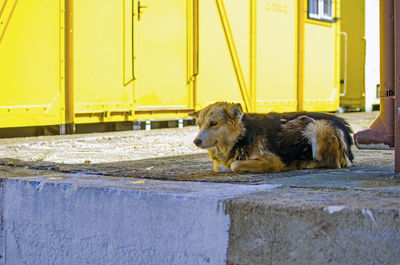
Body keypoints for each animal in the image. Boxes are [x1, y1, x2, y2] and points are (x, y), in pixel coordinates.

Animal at [188, 101, 354, 173]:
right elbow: (219, 166)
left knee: (333, 162)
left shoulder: (271, 159)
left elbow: (235, 165)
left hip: (318, 127)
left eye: (213, 123)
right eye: (199, 124)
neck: (240, 136)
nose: (196, 141)